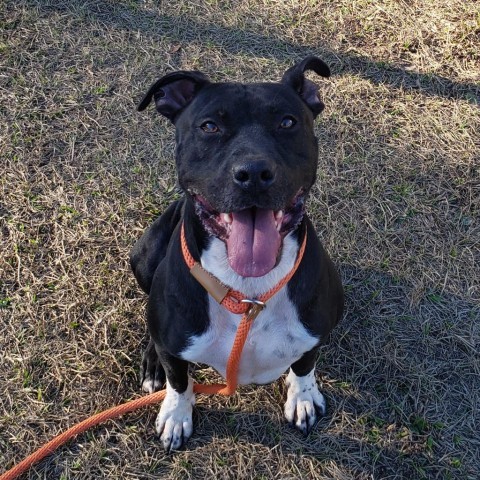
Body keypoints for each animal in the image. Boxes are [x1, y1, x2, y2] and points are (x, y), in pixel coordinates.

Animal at [129, 56, 344, 450]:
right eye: (209, 126)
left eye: (287, 122)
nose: (254, 173)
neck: (247, 291)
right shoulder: (176, 346)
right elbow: (179, 379)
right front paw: (176, 414)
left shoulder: (314, 332)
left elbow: (305, 364)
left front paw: (303, 397)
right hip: (144, 256)